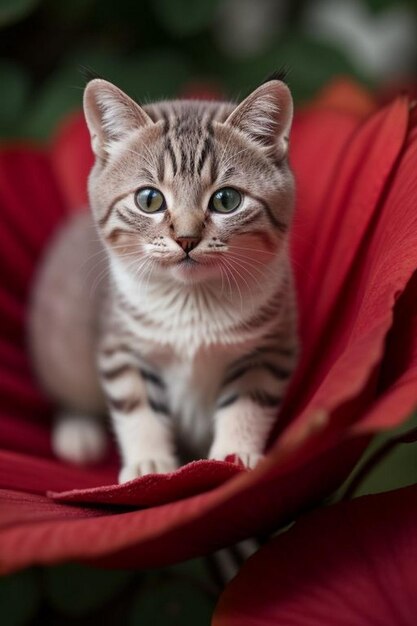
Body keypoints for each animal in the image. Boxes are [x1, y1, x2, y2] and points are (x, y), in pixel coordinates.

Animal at [28, 75, 296, 480]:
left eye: (226, 200)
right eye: (150, 199)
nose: (186, 238)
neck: (192, 301)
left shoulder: (269, 347)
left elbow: (248, 401)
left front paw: (235, 453)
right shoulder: (121, 345)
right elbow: (137, 406)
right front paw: (148, 462)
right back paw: (78, 431)